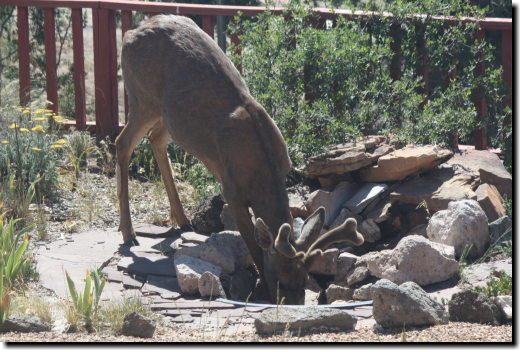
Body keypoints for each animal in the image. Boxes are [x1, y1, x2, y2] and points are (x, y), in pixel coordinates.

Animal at [116, 15, 364, 304]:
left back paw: (182, 220)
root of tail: (130, 33)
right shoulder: (231, 188)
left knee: (155, 139)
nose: (292, 304)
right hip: (142, 97)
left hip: (169, 116)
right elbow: (254, 245)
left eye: (305, 280)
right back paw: (129, 234)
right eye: (280, 280)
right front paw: (260, 290)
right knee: (122, 142)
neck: (262, 169)